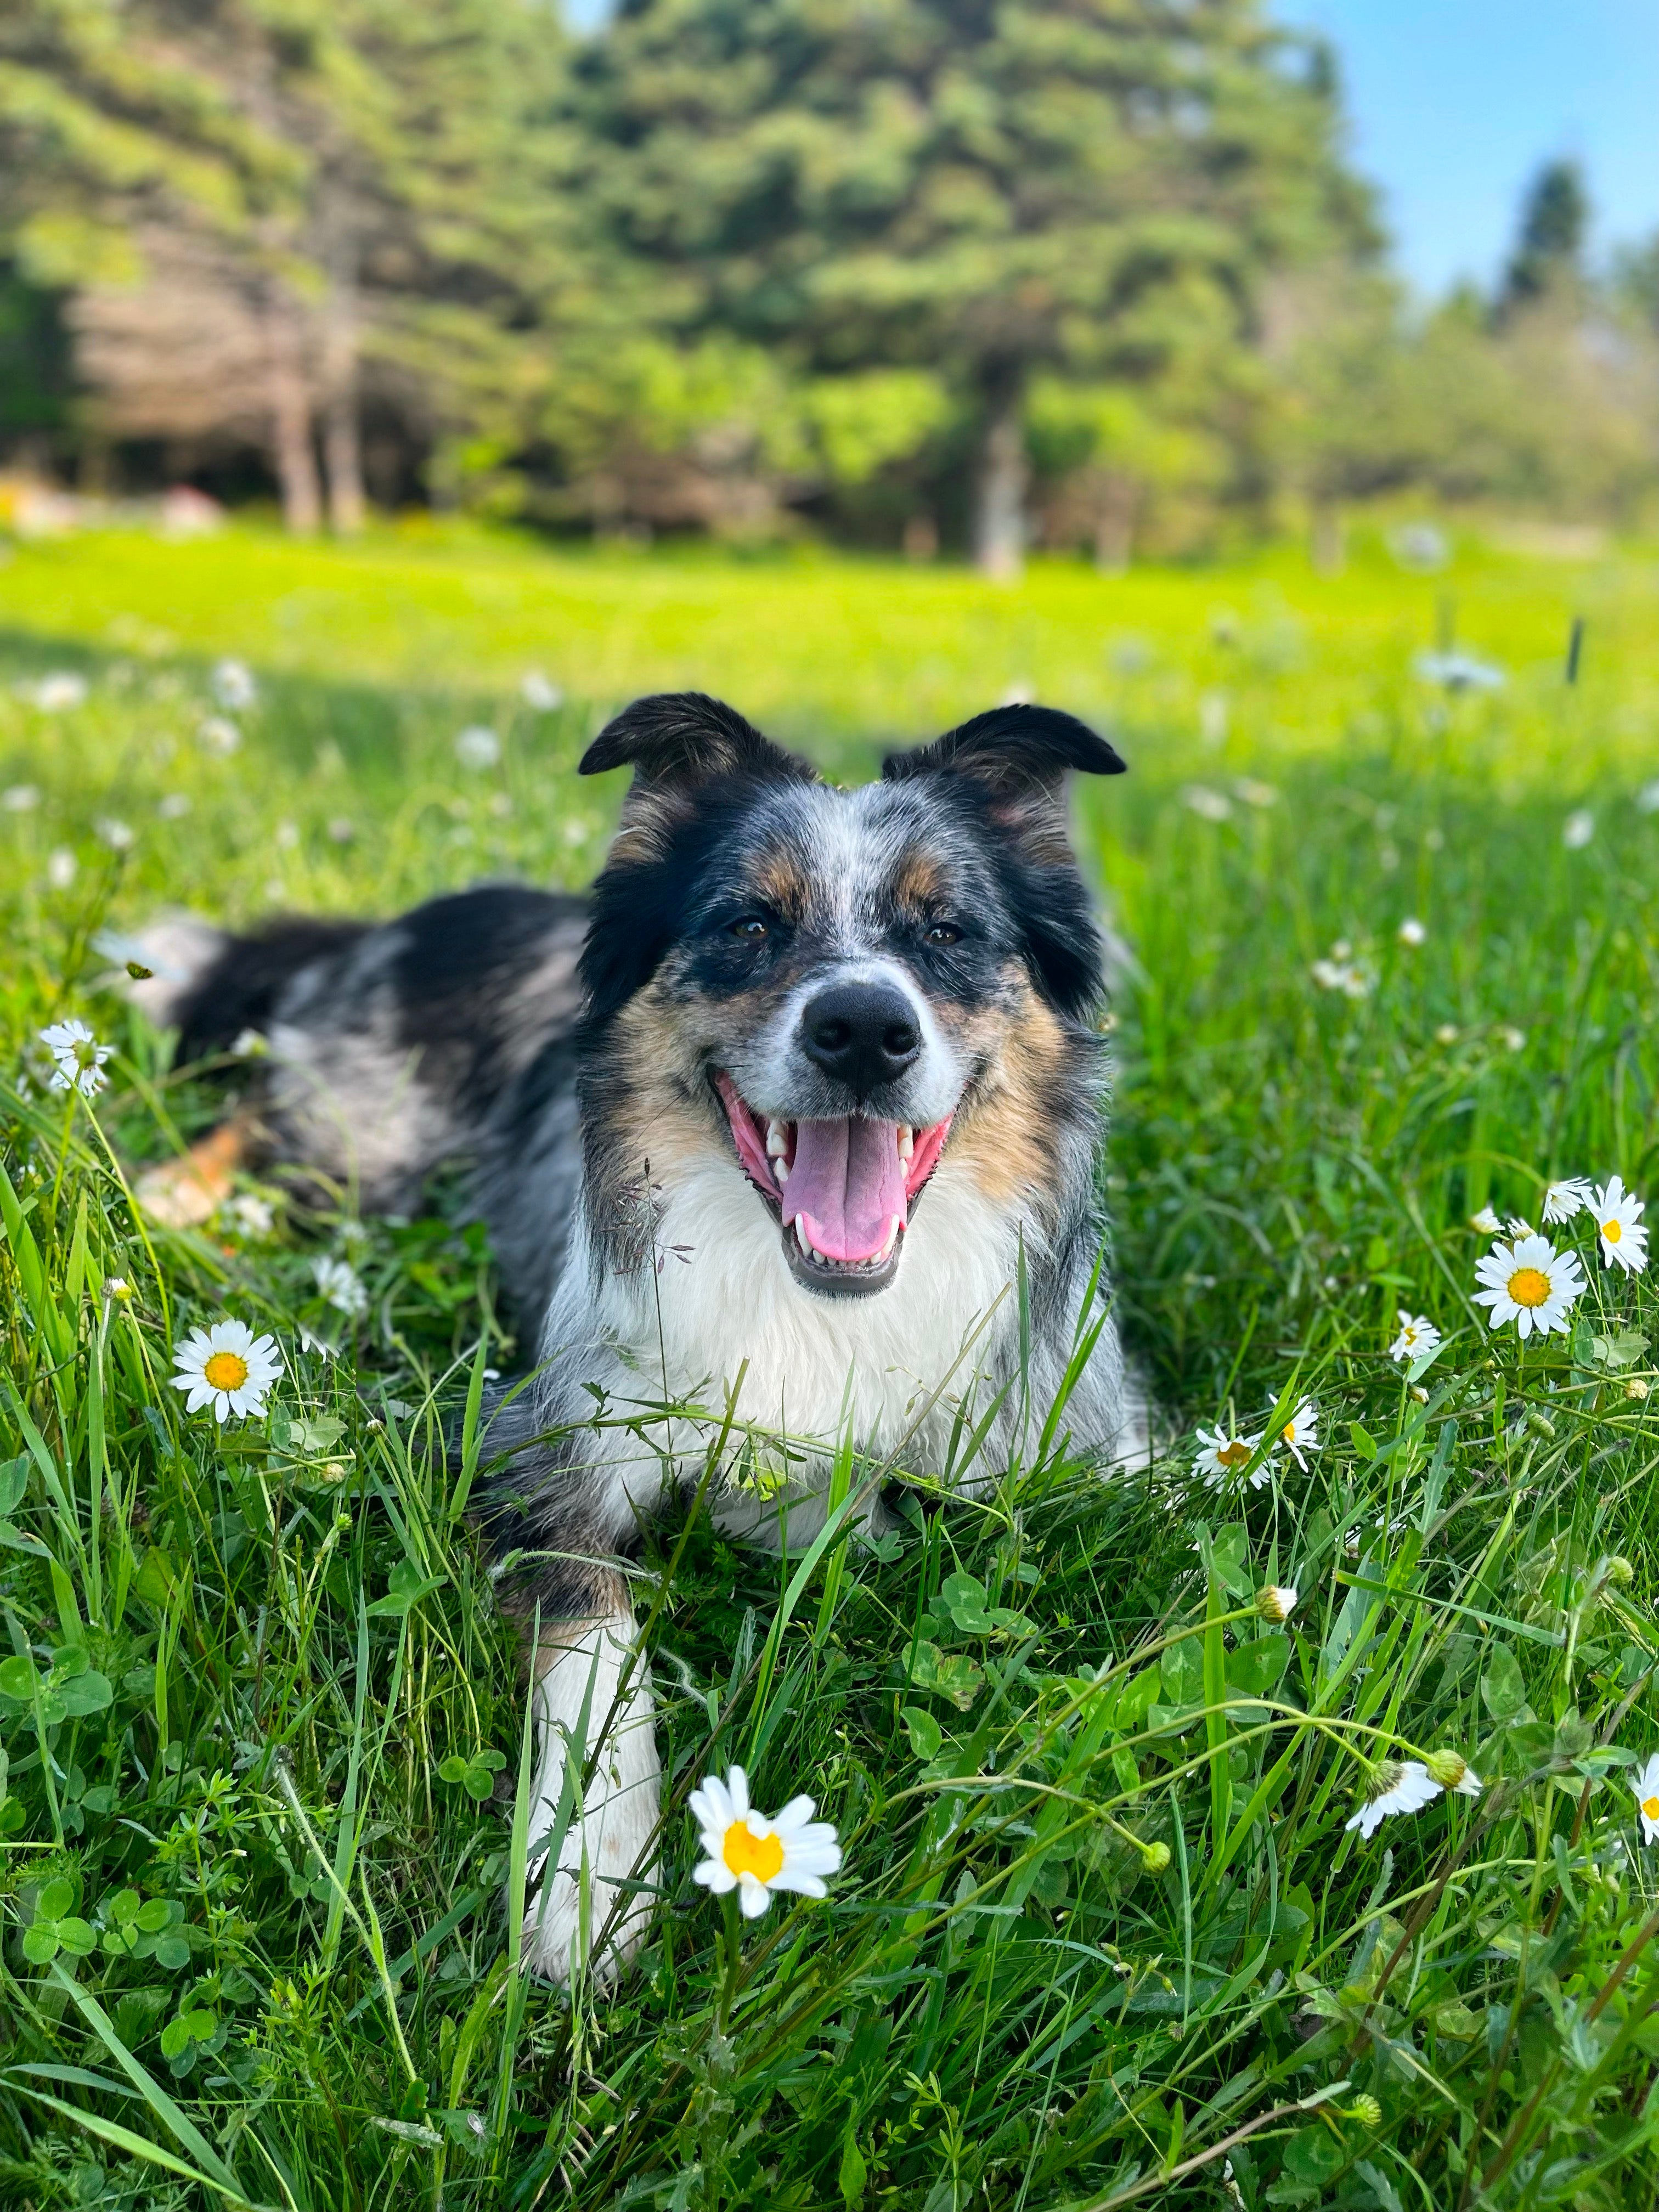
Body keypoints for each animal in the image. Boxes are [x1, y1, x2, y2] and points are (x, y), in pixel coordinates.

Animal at [136, 690, 1150, 1973]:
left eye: (949, 932)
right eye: (749, 925)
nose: (864, 1029)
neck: (820, 1298)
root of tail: (419, 914)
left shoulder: (1083, 1453)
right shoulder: (527, 1439)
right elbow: (598, 1631)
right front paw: (587, 1874)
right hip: (354, 1139)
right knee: (255, 1124)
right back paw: (162, 1196)